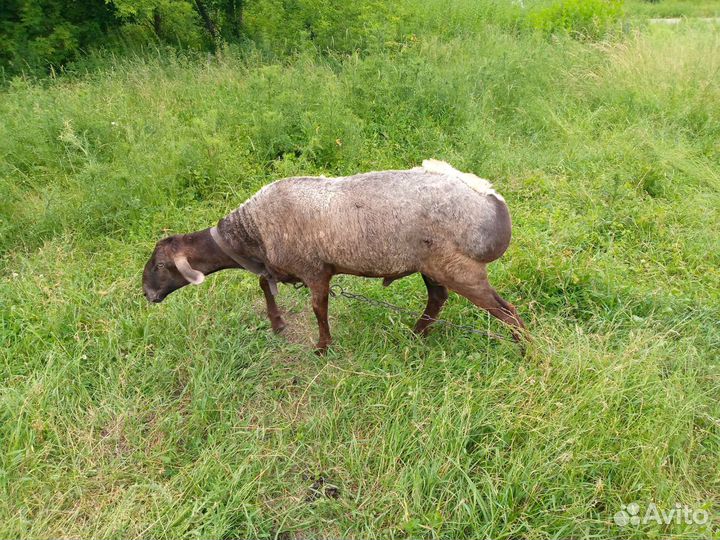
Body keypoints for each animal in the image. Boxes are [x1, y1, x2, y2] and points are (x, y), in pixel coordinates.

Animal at [142, 160, 527, 353]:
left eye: (161, 265)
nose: (147, 293)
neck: (250, 233)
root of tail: (491, 202)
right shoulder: (279, 267)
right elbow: (266, 286)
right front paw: (277, 324)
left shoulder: (314, 269)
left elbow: (318, 308)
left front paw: (322, 347)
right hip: (432, 264)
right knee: (437, 299)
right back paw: (415, 335)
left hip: (459, 267)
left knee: (506, 310)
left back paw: (527, 350)